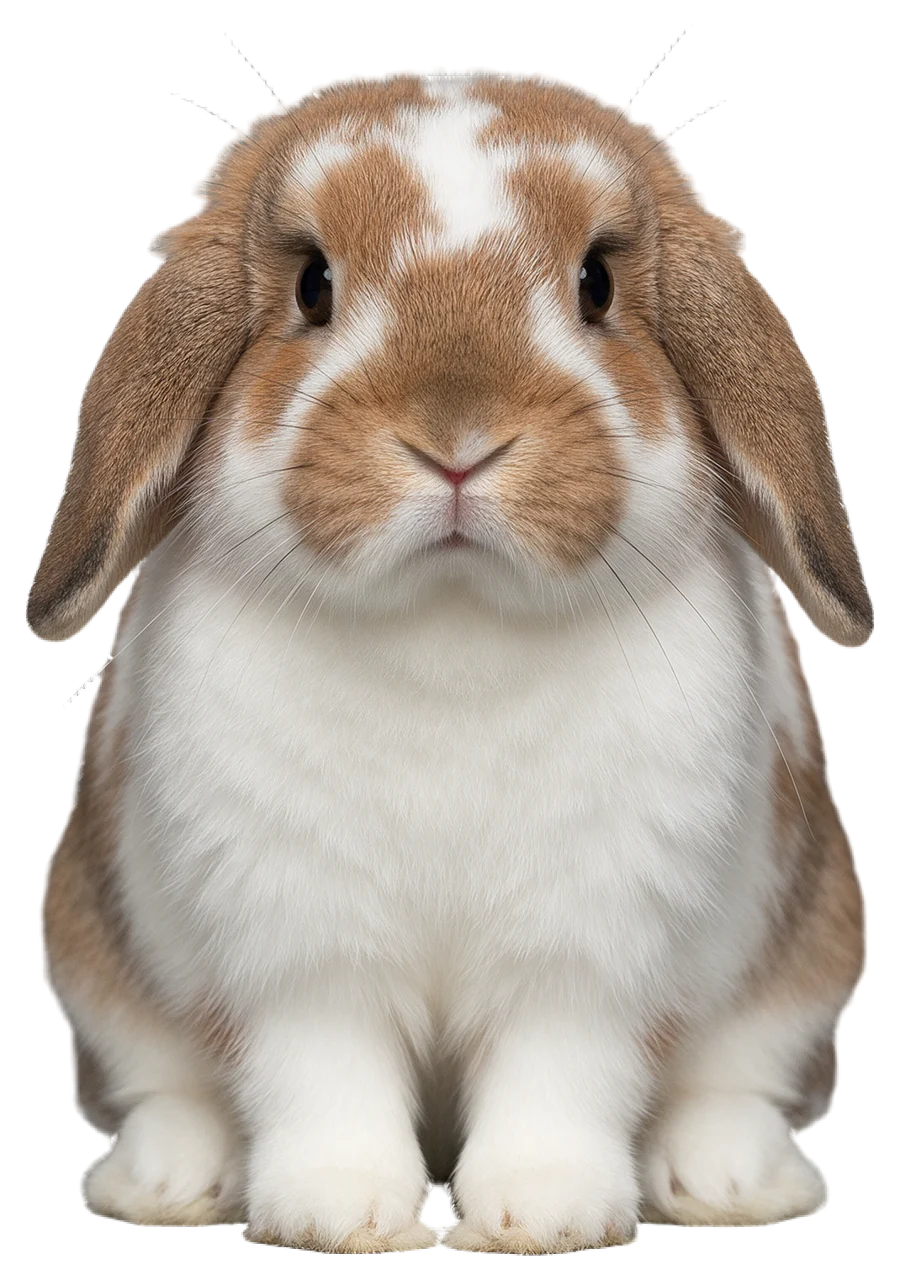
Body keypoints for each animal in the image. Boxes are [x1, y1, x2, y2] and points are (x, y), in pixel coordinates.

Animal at [29, 65, 871, 1254]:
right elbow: (321, 1074)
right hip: (91, 950)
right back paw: (169, 1179)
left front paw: (541, 1209)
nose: (458, 437)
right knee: (162, 1086)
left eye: (597, 285)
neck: (451, 635)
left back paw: (729, 1180)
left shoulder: (587, 952)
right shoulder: (299, 949)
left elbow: (558, 1074)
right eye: (314, 287)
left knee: (740, 1078)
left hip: (812, 944)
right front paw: (342, 1209)